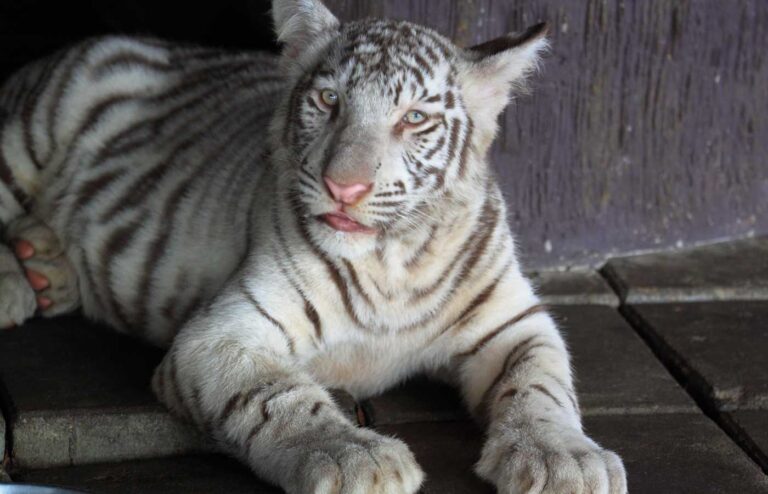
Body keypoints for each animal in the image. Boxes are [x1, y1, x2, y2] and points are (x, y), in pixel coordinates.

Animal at [0, 0, 628, 492]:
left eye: (414, 119)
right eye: (329, 100)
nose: (343, 187)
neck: (393, 261)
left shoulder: (514, 322)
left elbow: (542, 384)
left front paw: (565, 459)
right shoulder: (222, 334)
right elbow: (277, 397)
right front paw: (355, 458)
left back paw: (45, 266)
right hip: (28, 132)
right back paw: (17, 282)